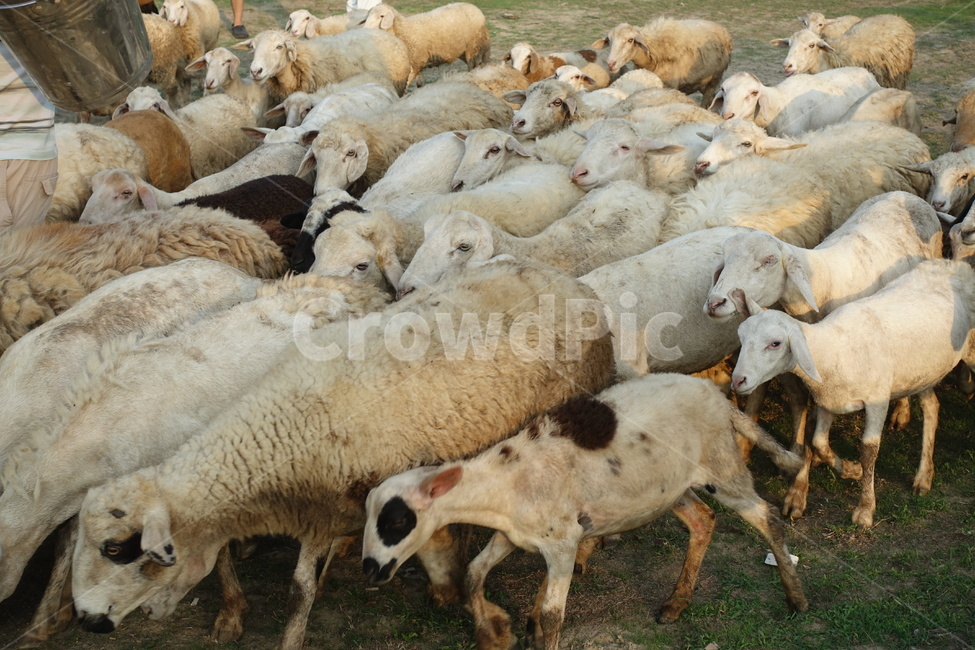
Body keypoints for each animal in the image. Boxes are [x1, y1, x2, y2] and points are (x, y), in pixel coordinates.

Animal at [70, 259, 615, 648]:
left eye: (116, 549)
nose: (86, 619)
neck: (282, 432)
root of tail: (570, 280)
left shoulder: (404, 502)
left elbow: (450, 568)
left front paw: (485, 623)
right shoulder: (322, 508)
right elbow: (300, 592)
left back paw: (571, 571)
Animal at [363, 373, 807, 649]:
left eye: (397, 520)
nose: (369, 568)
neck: (503, 482)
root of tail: (717, 396)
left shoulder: (562, 542)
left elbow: (552, 615)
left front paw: (526, 629)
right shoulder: (512, 534)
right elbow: (473, 573)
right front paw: (495, 633)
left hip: (723, 469)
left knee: (767, 517)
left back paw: (796, 599)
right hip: (670, 489)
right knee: (703, 521)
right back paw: (675, 604)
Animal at [591, 18, 733, 107]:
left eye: (630, 40)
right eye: (609, 40)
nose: (611, 63)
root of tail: (721, 28)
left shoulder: (670, 86)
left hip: (714, 78)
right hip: (702, 82)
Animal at [731, 259, 975, 527]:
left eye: (775, 343)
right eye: (741, 336)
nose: (737, 380)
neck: (833, 350)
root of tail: (954, 264)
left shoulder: (878, 400)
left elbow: (868, 451)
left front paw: (865, 509)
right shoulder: (828, 400)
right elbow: (818, 443)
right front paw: (851, 470)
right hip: (922, 372)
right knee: (931, 407)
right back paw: (924, 477)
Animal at [771, 16, 915, 90]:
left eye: (812, 45)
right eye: (789, 44)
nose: (787, 65)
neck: (830, 60)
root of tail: (896, 17)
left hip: (899, 77)